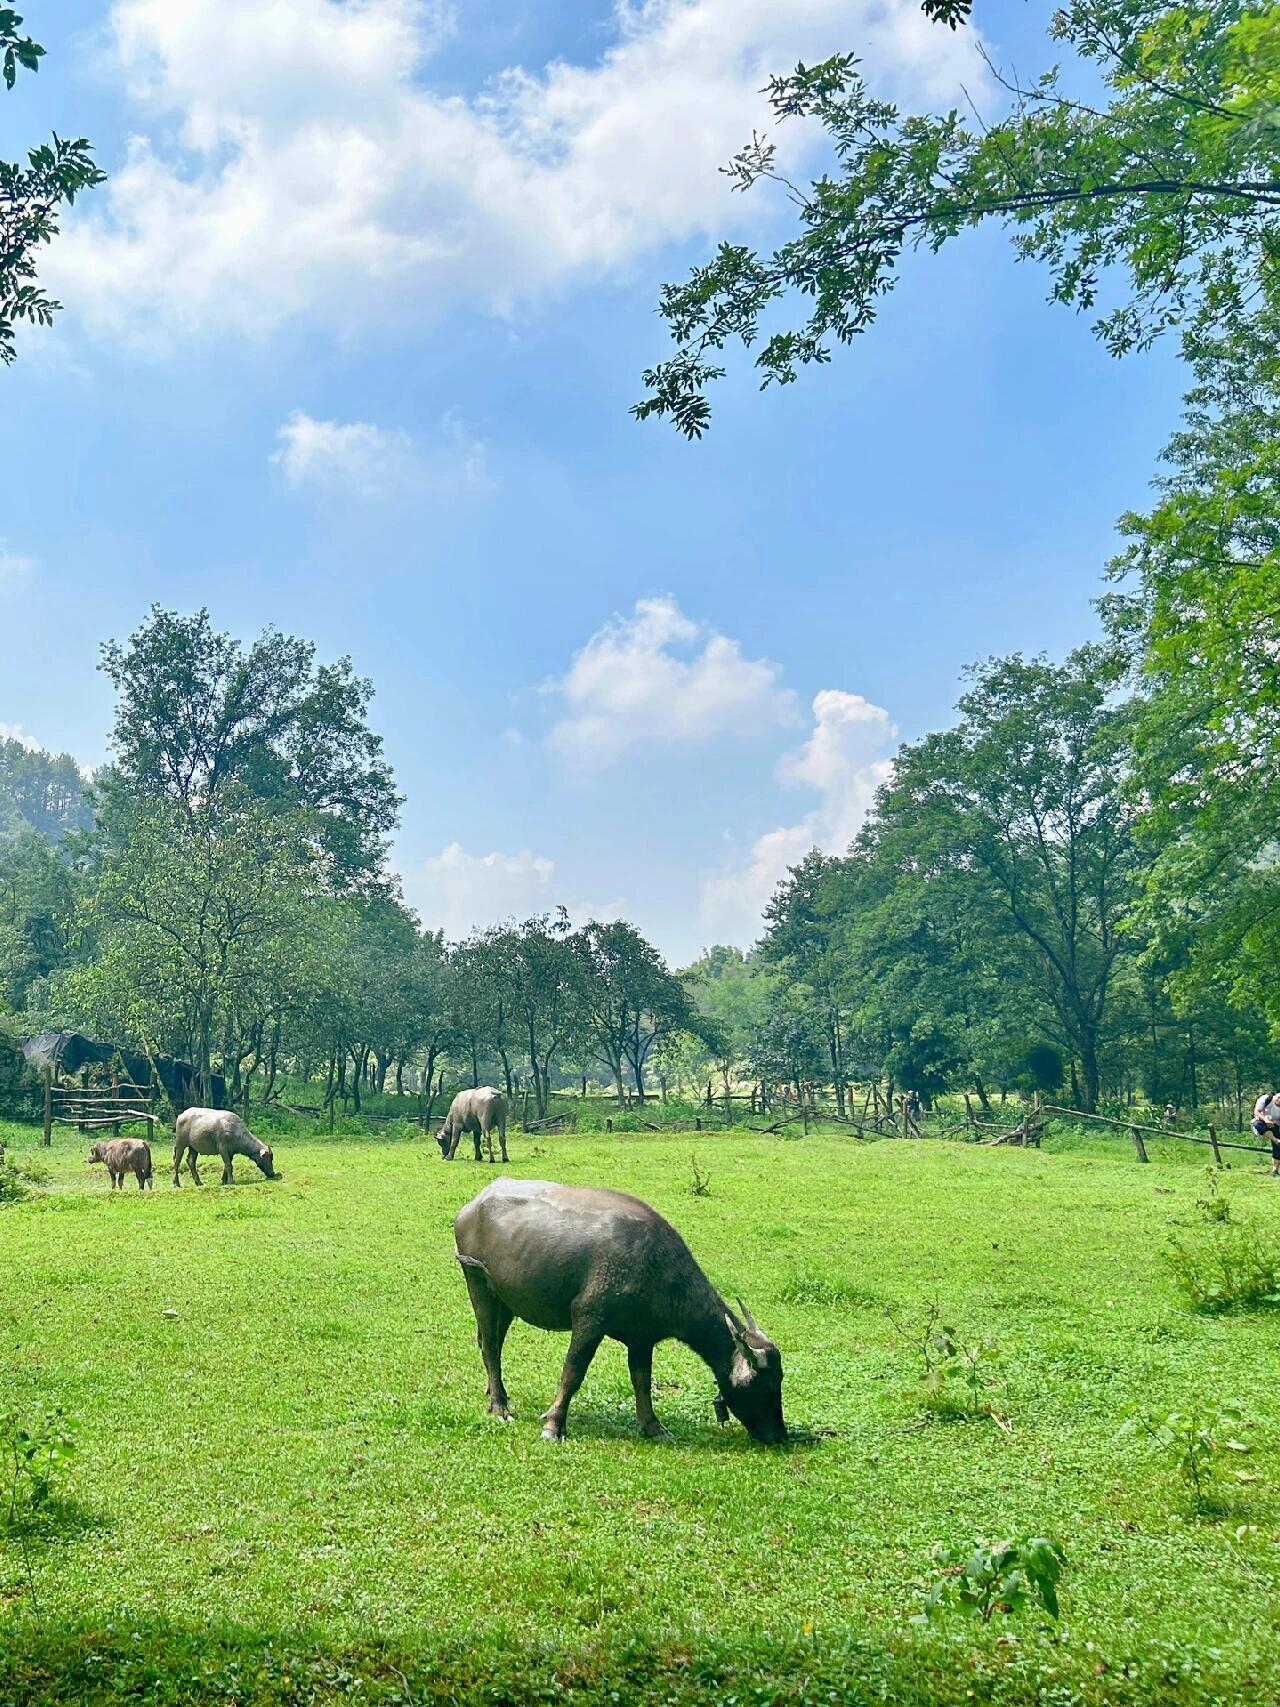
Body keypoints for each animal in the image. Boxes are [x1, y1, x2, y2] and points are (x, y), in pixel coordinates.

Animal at [457, 1181, 788, 1447]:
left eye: (780, 1380)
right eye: (767, 1385)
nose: (779, 1435)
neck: (655, 1266)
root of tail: (472, 1206)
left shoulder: (642, 1338)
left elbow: (642, 1380)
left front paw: (653, 1427)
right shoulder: (589, 1320)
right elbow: (573, 1372)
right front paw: (554, 1424)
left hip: (506, 1300)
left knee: (491, 1343)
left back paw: (495, 1393)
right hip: (478, 1285)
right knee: (490, 1346)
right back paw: (500, 1407)